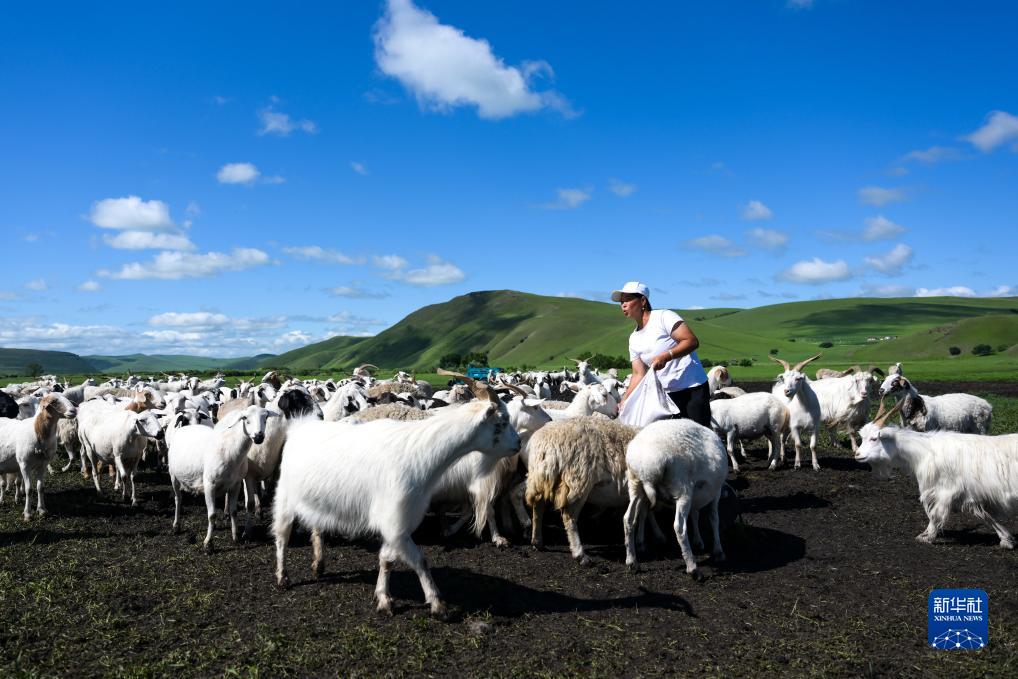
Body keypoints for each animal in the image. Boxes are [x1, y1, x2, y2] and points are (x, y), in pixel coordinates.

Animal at [0, 392, 77, 521]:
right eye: (54, 401)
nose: (74, 411)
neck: (38, 432)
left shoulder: (42, 464)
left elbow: (40, 487)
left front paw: (42, 510)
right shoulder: (25, 465)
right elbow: (29, 489)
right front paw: (27, 514)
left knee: (8, 483)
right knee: (3, 484)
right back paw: (2, 500)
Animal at [168, 407, 276, 549]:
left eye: (266, 418)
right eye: (245, 418)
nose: (259, 437)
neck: (230, 450)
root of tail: (186, 427)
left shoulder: (236, 484)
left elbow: (233, 511)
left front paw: (235, 537)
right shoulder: (209, 485)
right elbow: (212, 515)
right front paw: (208, 543)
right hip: (173, 475)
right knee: (178, 499)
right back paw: (176, 526)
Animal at [270, 384, 521, 618]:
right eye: (503, 421)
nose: (518, 443)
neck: (421, 453)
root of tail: (302, 425)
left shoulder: (398, 521)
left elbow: (387, 559)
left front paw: (383, 598)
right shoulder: (396, 522)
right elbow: (420, 560)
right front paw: (437, 603)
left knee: (317, 528)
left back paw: (319, 563)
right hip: (285, 497)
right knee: (282, 536)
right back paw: (282, 577)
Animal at [623, 419, 728, 578]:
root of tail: (647, 466)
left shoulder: (697, 495)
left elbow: (695, 515)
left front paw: (698, 540)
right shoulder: (716, 491)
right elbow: (714, 518)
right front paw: (718, 551)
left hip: (635, 485)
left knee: (628, 519)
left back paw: (632, 561)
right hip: (682, 489)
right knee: (679, 527)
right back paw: (692, 567)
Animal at [859, 401, 1018, 549]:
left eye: (874, 438)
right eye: (862, 438)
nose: (857, 454)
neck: (926, 450)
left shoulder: (946, 489)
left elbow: (935, 514)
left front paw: (926, 537)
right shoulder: (969, 494)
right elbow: (984, 515)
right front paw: (1006, 539)